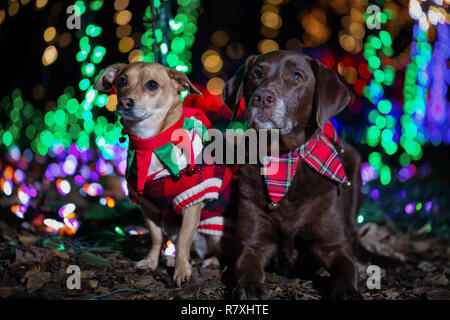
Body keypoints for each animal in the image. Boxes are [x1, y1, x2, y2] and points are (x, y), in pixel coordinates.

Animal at [95, 62, 236, 284]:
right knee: (189, 250)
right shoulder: (148, 206)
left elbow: (184, 241)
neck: (150, 144)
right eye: (122, 81)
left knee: (222, 253)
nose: (125, 102)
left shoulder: (191, 204)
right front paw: (151, 262)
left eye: (152, 85)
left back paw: (211, 261)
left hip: (217, 231)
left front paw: (181, 271)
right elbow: (156, 237)